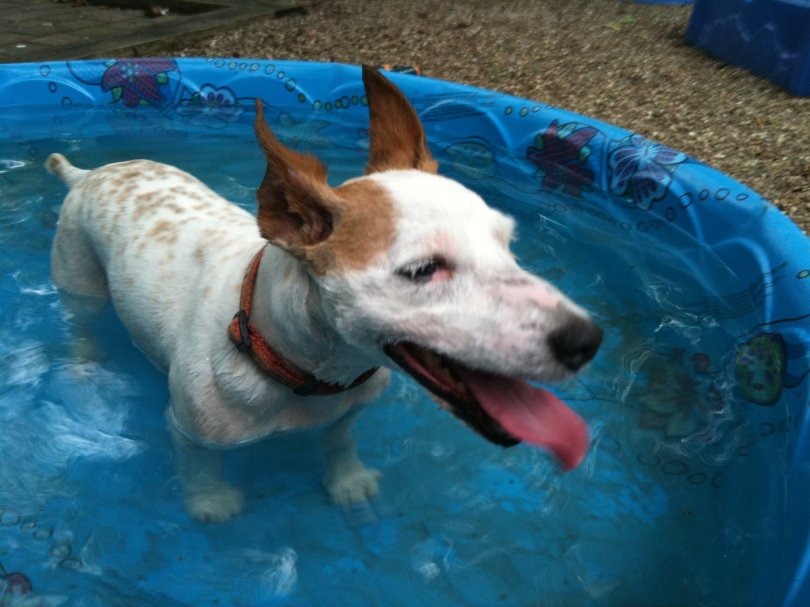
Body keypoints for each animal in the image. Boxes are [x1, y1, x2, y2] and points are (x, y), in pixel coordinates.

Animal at [47, 66, 602, 523]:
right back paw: (86, 364)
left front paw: (347, 480)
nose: (587, 341)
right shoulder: (191, 430)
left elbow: (340, 440)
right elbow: (201, 465)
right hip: (78, 277)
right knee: (81, 322)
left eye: (507, 244)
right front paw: (210, 500)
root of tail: (88, 173)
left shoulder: (348, 408)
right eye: (423, 270)